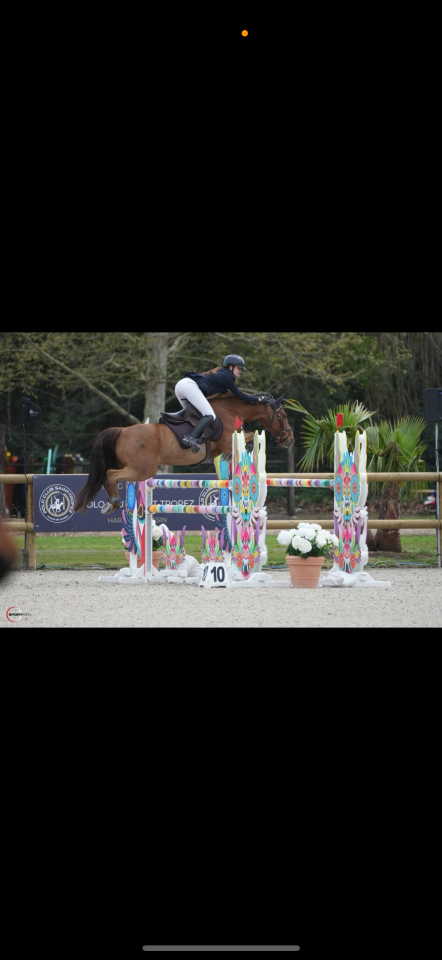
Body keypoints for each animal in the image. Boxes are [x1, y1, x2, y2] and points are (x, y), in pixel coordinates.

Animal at [74, 394, 294, 514]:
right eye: (283, 415)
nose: (289, 440)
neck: (230, 410)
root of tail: (120, 430)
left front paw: (230, 457)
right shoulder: (226, 439)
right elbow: (246, 437)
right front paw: (238, 451)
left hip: (134, 468)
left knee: (106, 476)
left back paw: (111, 504)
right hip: (142, 470)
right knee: (110, 474)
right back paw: (113, 503)